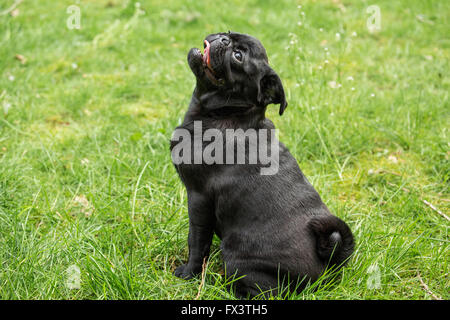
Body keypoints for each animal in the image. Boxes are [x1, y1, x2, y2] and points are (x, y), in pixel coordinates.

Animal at [171, 32, 354, 298]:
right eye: (228, 35)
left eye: (238, 57)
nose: (223, 39)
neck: (227, 115)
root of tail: (327, 267)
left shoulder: (198, 198)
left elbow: (196, 240)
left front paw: (189, 273)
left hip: (237, 256)